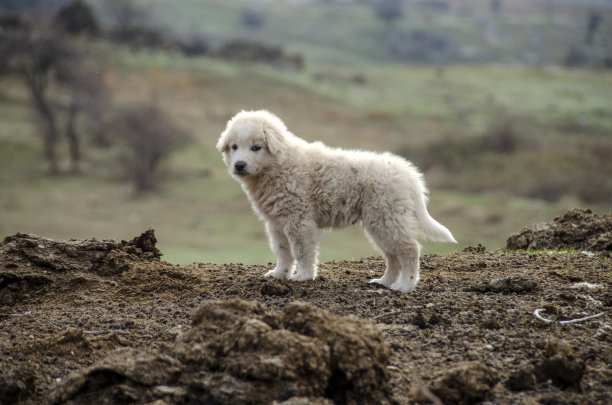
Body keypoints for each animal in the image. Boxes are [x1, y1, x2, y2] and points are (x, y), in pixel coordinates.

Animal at [218, 110, 456, 292]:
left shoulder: (299, 219)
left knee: (409, 250)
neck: (279, 165)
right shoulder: (276, 222)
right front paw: (279, 274)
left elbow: (301, 250)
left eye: (256, 147)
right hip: (379, 222)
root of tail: (408, 174)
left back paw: (405, 285)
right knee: (392, 255)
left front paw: (303, 275)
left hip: (386, 217)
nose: (239, 165)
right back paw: (384, 281)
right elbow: (282, 251)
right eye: (234, 147)